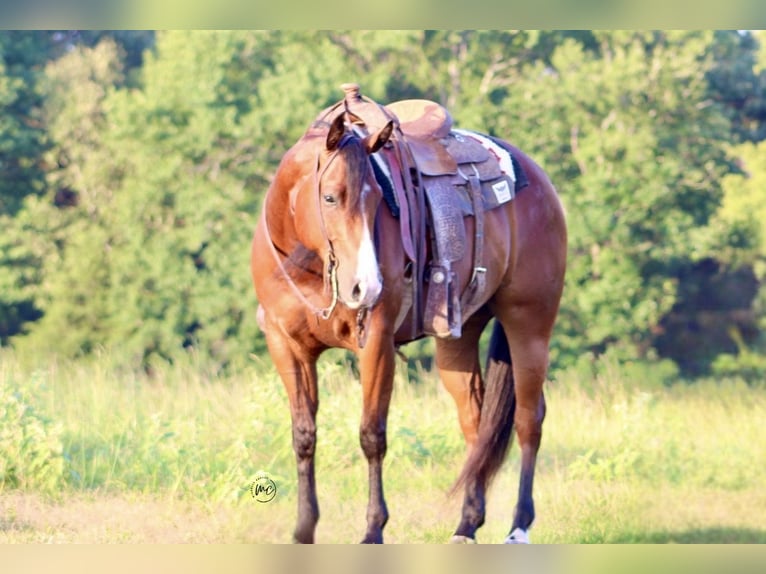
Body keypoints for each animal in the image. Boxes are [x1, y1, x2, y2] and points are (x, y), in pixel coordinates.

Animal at [250, 85, 567, 544]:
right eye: (329, 197)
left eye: (378, 200)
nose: (366, 286)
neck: (306, 264)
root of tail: (535, 174)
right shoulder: (286, 346)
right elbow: (304, 435)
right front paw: (304, 530)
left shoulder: (376, 343)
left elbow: (371, 435)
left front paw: (373, 530)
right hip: (458, 336)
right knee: (475, 426)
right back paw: (467, 525)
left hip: (529, 324)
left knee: (529, 419)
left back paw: (519, 526)